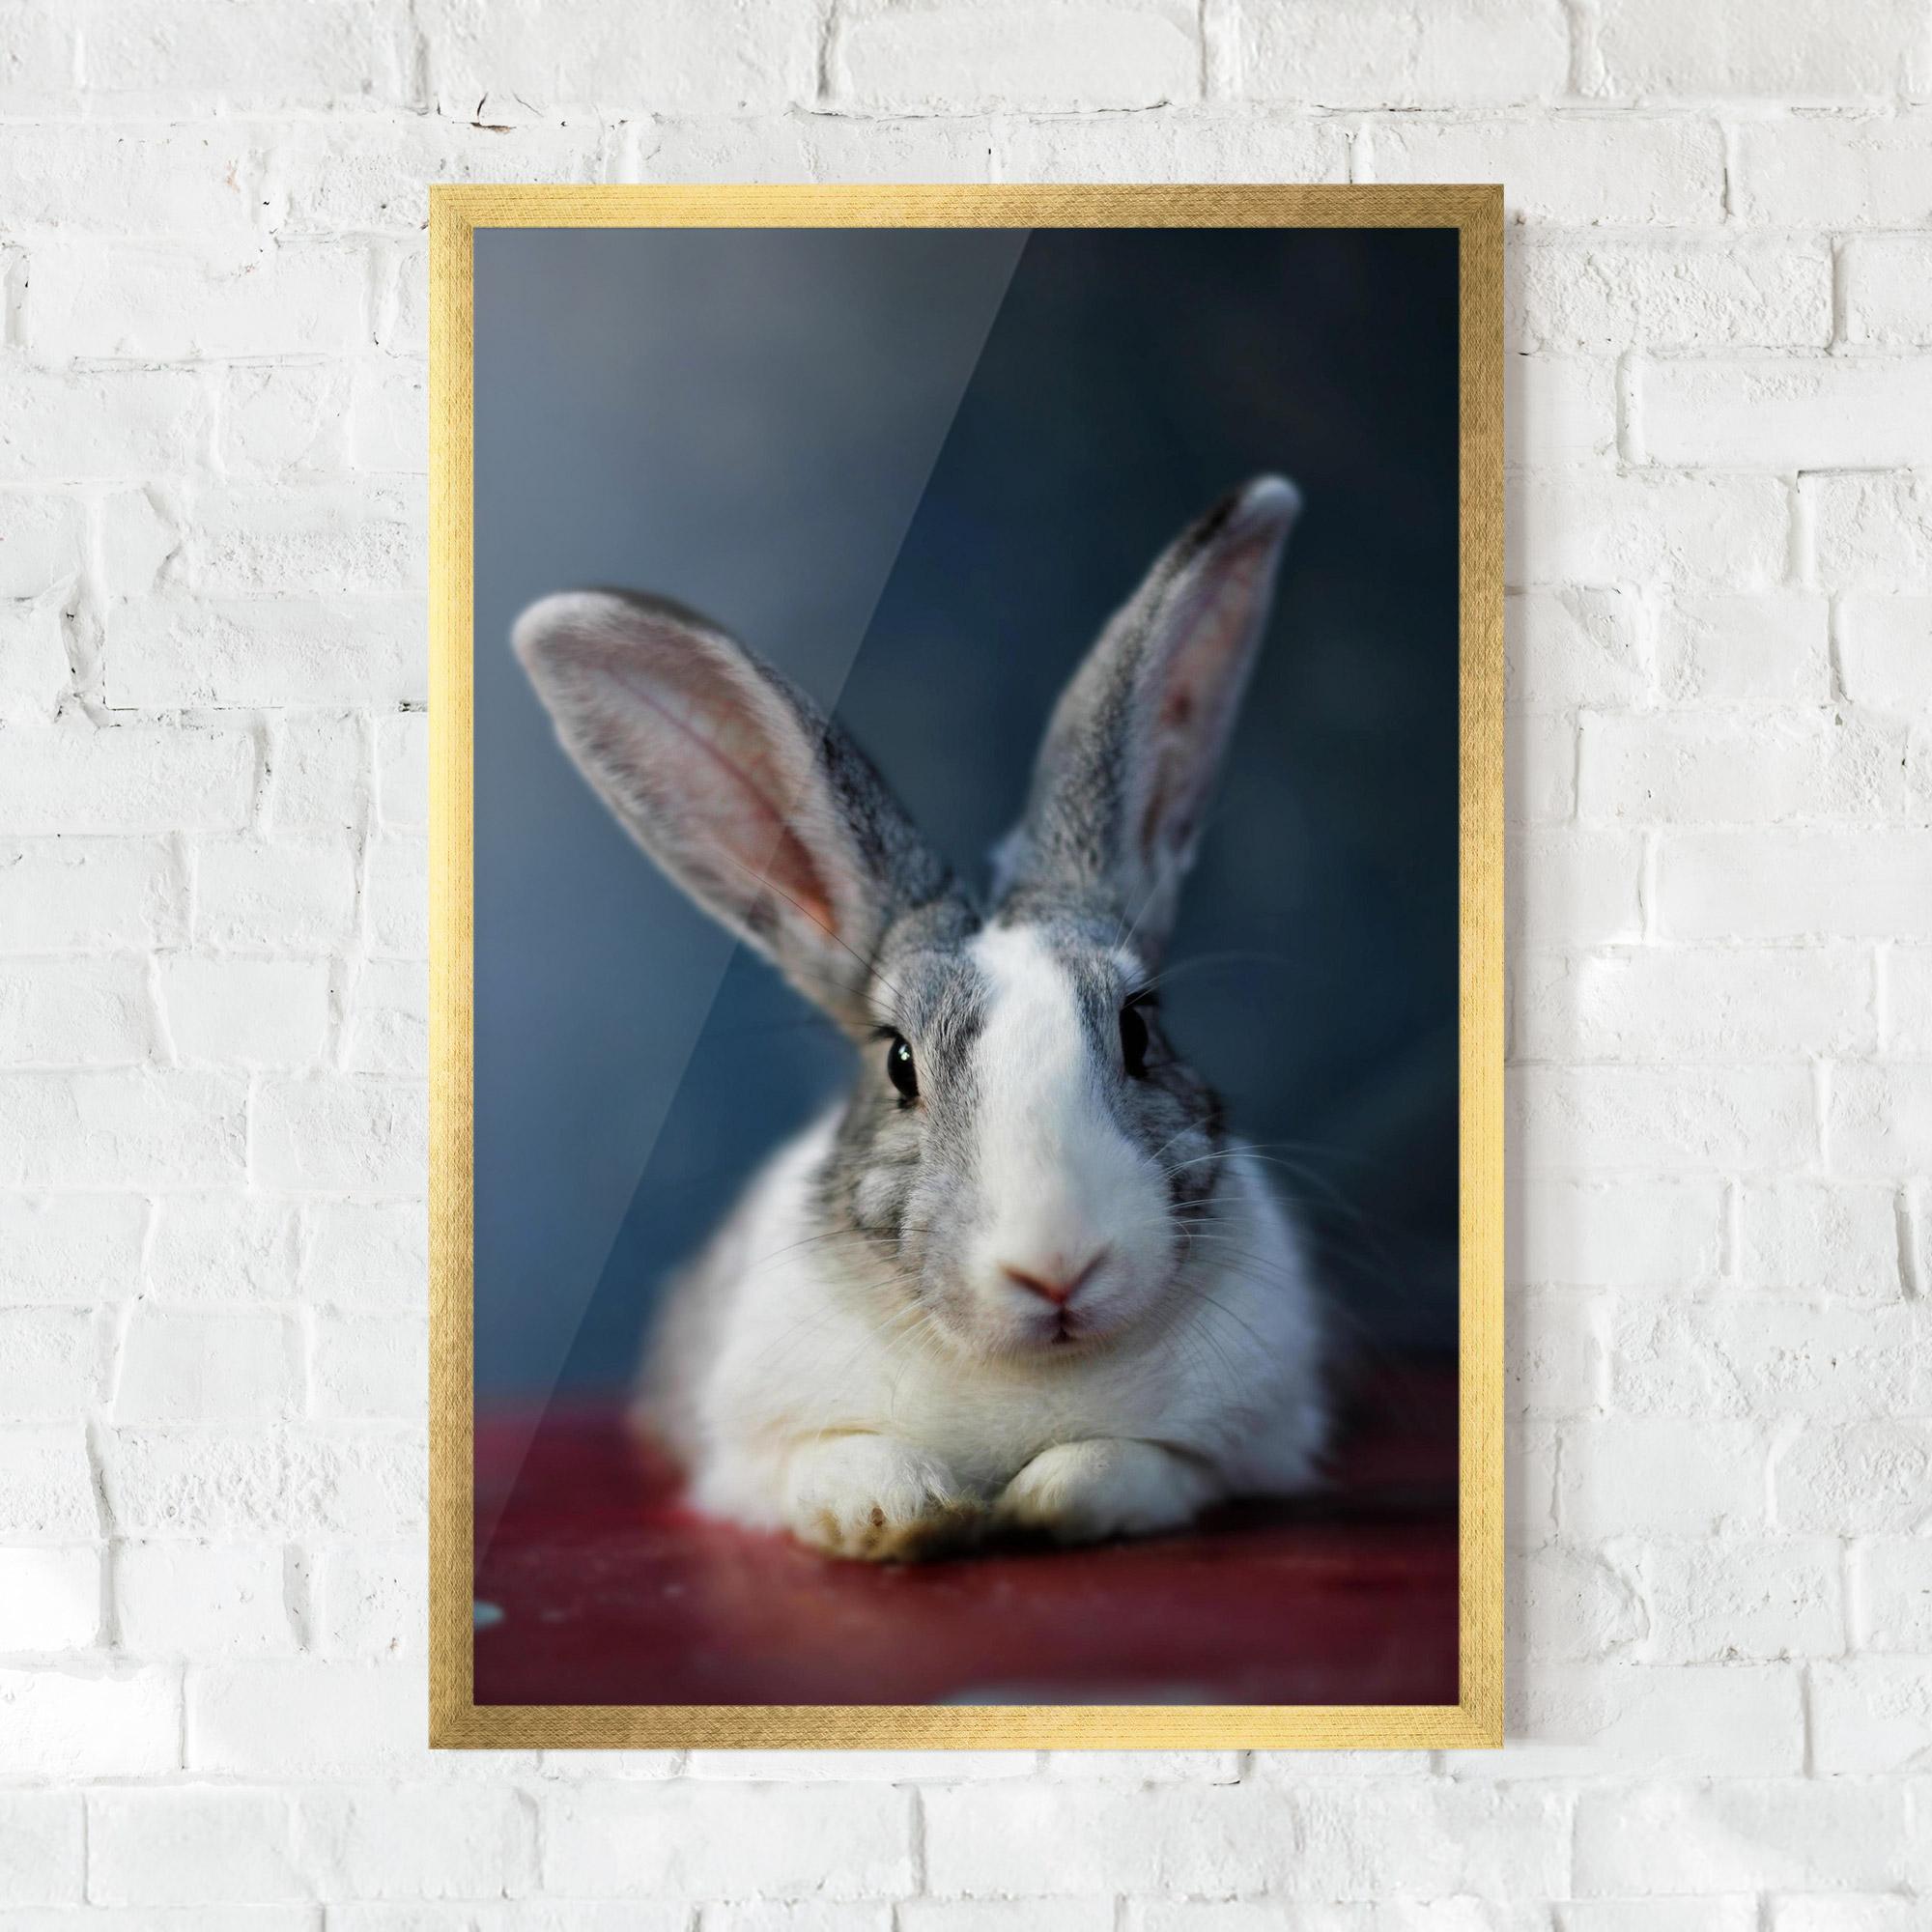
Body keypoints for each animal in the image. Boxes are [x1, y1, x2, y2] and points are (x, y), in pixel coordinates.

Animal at [513, 474, 1331, 1561]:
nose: (1057, 1267)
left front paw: (1046, 1497)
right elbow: (835, 1462)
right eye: (900, 1064)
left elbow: (1131, 1465)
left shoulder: (1236, 1447)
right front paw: (902, 1512)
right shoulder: (747, 1454)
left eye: (1139, 1029)